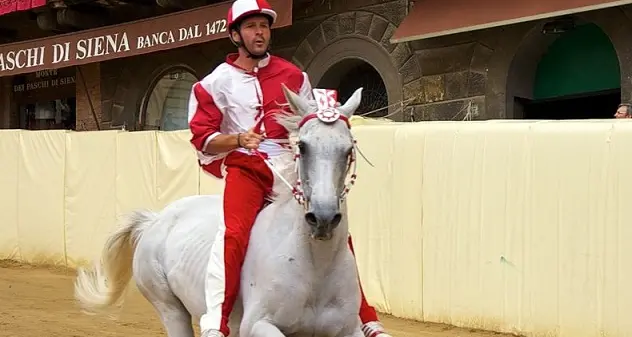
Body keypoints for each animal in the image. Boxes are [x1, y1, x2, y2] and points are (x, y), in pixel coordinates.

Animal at [74, 84, 368, 336]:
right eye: (302, 146)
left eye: (348, 149)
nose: (323, 218)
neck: (315, 267)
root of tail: (155, 220)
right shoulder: (258, 325)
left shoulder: (347, 330)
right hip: (170, 308)